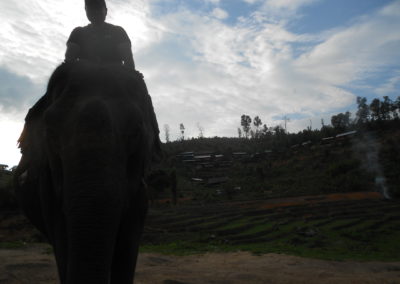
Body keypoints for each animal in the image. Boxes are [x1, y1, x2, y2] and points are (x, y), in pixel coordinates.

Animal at [14, 62, 161, 284]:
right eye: (51, 133)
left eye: (136, 132)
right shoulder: (48, 192)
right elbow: (63, 244)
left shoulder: (140, 197)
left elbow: (127, 250)